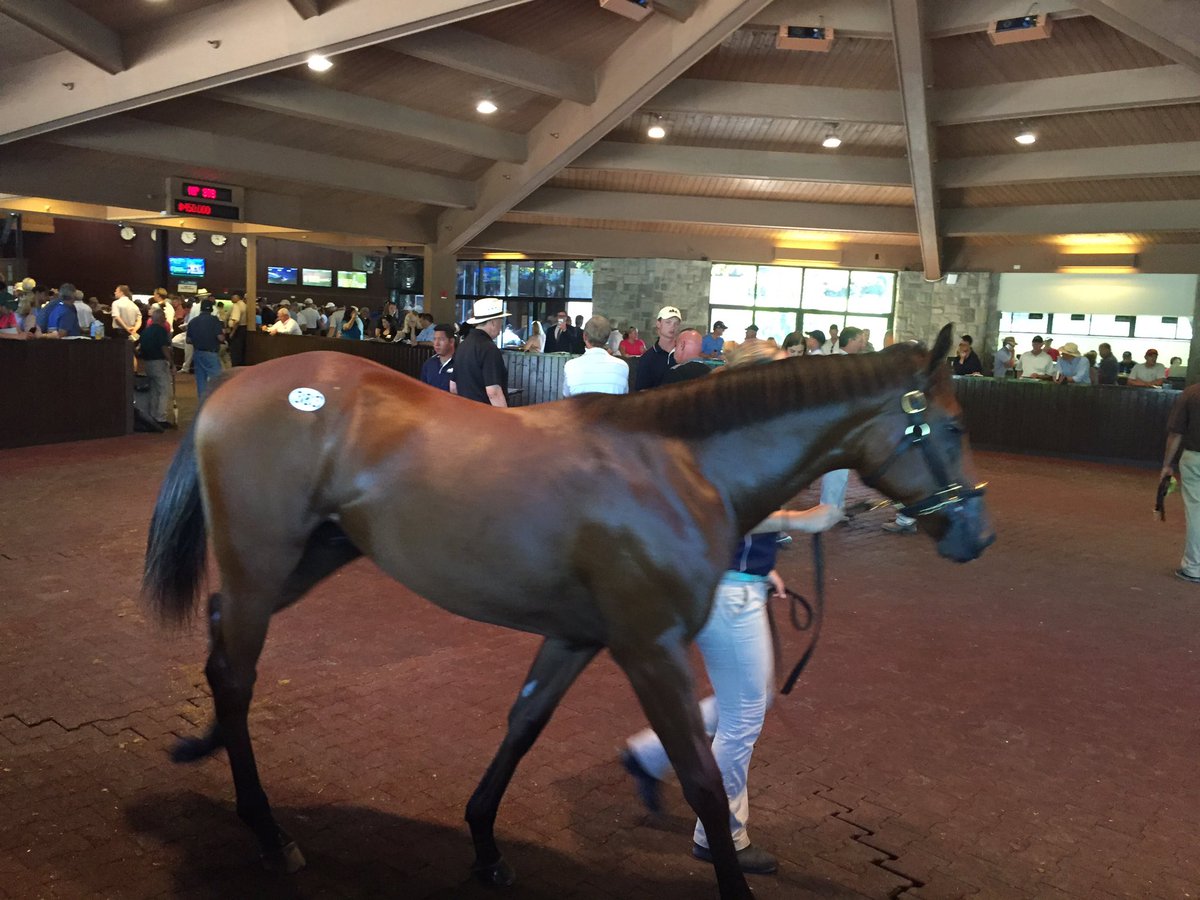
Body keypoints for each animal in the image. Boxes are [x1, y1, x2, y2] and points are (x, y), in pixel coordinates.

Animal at [142, 323, 993, 900]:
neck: (678, 469)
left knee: (220, 643)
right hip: (262, 560)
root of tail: (236, 388)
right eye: (952, 426)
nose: (976, 535)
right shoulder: (650, 648)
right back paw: (267, 832)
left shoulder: (577, 636)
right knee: (237, 672)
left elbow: (523, 725)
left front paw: (485, 846)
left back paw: (204, 751)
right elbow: (703, 781)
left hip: (308, 557)